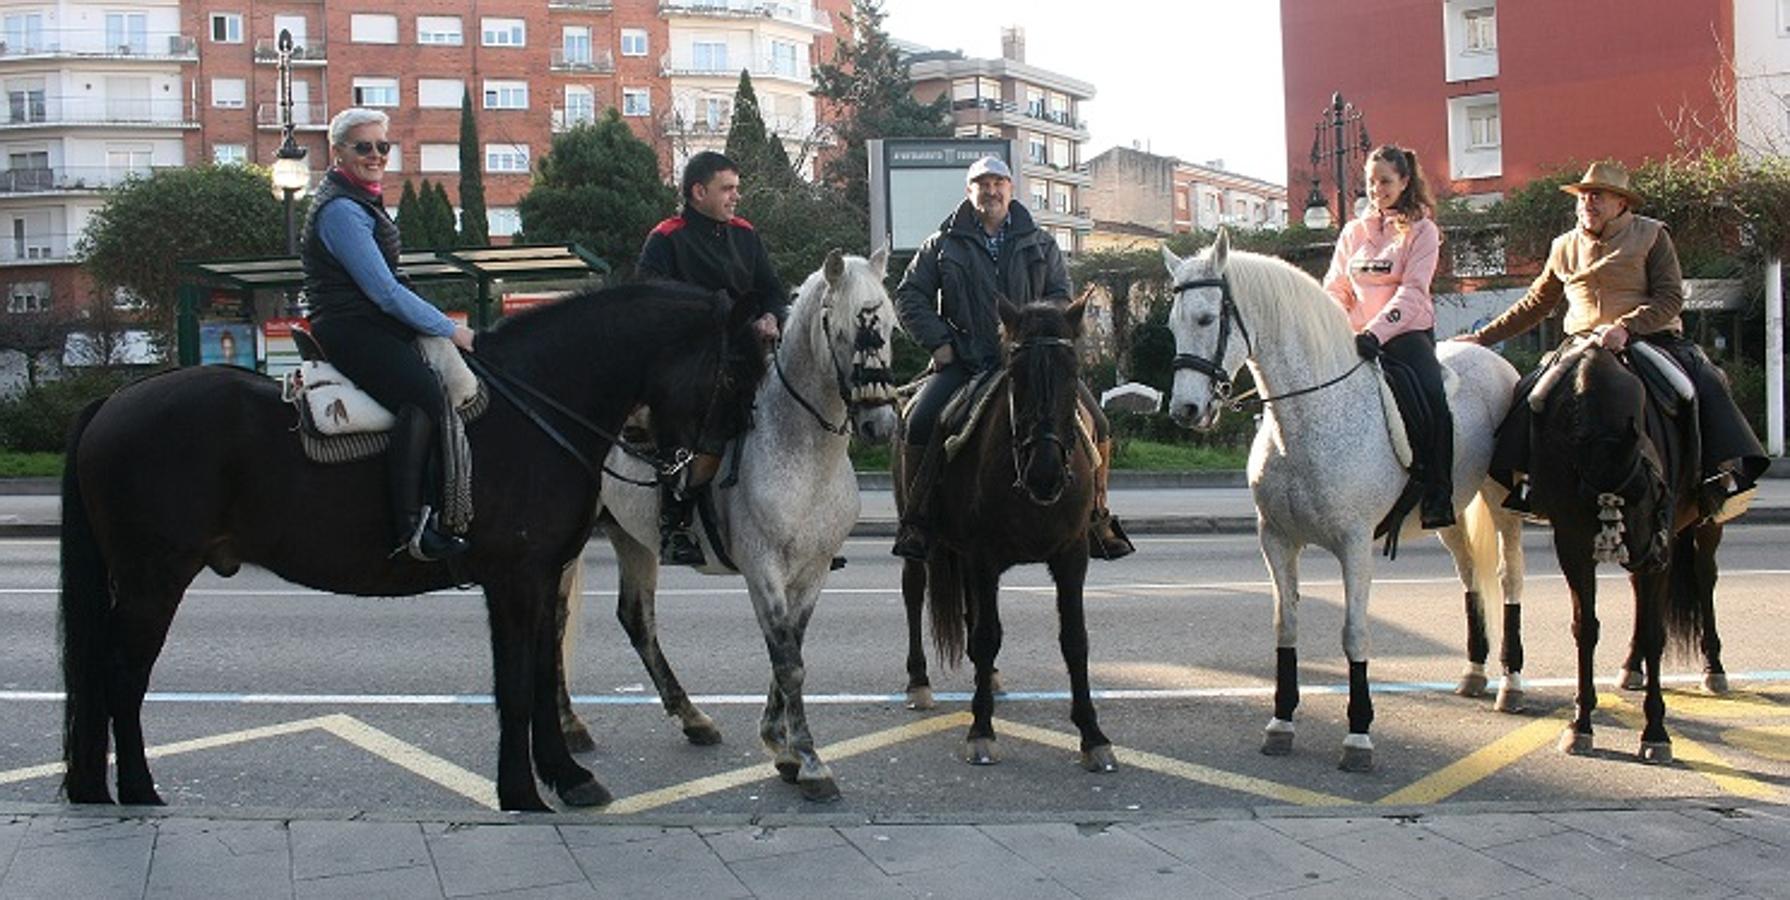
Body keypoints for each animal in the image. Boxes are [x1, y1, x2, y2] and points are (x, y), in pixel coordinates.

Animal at [57, 284, 762, 812]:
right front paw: (521, 793)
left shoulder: (538, 577)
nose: (700, 478)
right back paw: (139, 790)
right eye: (733, 376)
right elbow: (516, 684)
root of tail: (115, 397)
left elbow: (539, 676)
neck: (539, 406)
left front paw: (566, 776)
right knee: (121, 675)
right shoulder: (514, 579)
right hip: (152, 579)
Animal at [554, 248, 902, 801]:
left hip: (632, 538)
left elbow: (790, 648)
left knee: (637, 619)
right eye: (844, 329)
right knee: (555, 622)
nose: (879, 424)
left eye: (889, 326)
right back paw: (570, 726)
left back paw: (692, 718)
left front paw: (780, 744)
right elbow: (788, 661)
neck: (803, 452)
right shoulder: (764, 570)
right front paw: (808, 760)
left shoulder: (812, 571)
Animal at [895, 295, 1116, 776]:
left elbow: (1075, 639)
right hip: (920, 539)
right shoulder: (984, 556)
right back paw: (918, 682)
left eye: (1073, 370)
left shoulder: (1071, 557)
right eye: (1015, 375)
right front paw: (981, 730)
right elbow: (986, 636)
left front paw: (1093, 735)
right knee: (913, 591)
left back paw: (990, 678)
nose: (1045, 474)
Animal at [1159, 232, 1525, 776]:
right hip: (1451, 514)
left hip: (1501, 504)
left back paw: (1511, 684)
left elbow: (1354, 634)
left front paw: (1358, 734)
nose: (1185, 410)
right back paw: (1475, 673)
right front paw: (1281, 722)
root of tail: (1493, 358)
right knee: (1469, 577)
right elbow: (1286, 624)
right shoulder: (1276, 540)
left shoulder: (1354, 547)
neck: (1305, 420)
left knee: (1508, 577)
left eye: (1205, 319)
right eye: (1171, 324)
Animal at [1525, 341, 1718, 765]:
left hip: (1703, 526)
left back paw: (1713, 667)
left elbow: (1655, 632)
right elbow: (1586, 628)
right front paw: (1580, 723)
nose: (1652, 556)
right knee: (1640, 596)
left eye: (1652, 489)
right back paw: (1632, 666)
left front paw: (1656, 731)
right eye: (1635, 496)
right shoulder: (1573, 545)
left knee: (1704, 578)